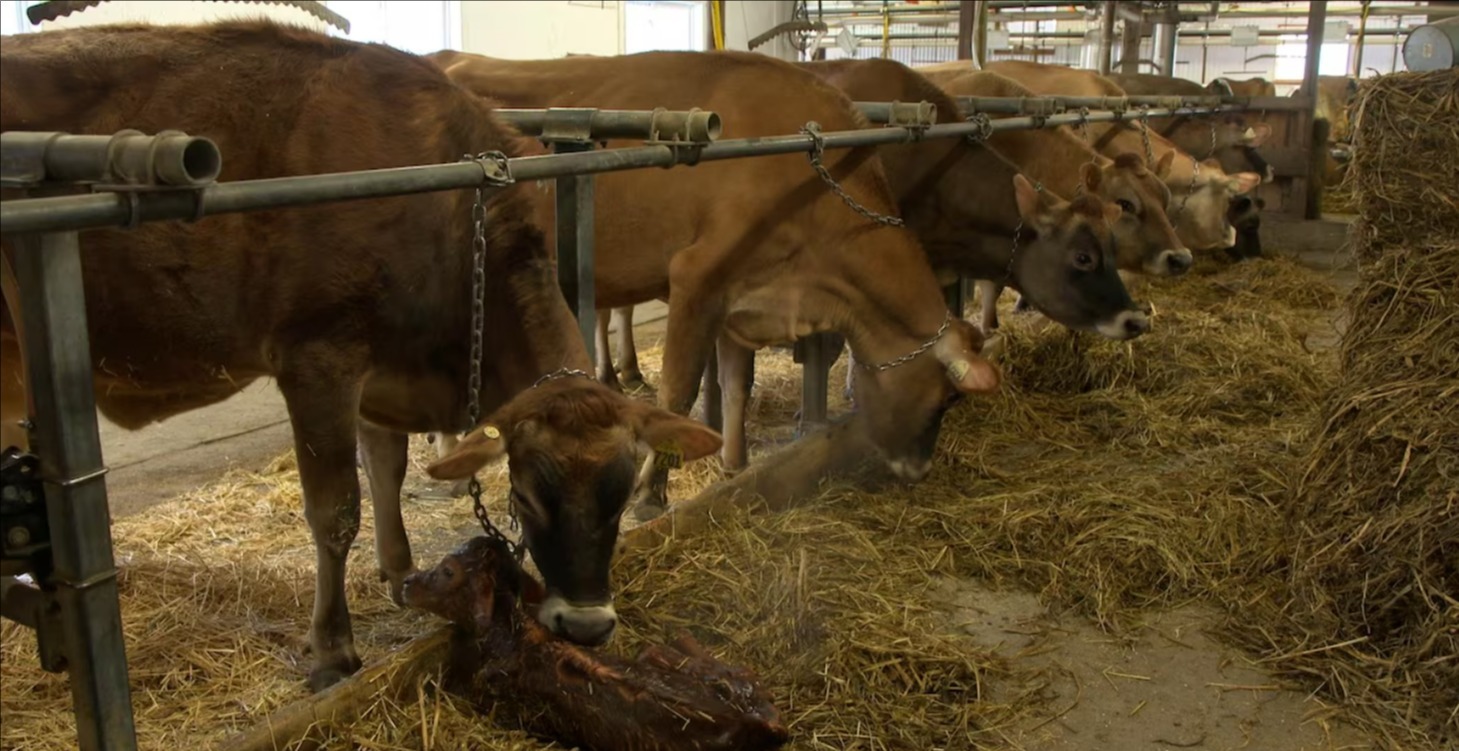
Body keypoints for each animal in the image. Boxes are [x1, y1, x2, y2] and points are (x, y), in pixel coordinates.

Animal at [0, 21, 728, 691]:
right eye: (522, 491)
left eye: (623, 490)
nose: (586, 626)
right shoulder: (317, 359)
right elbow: (336, 510)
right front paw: (332, 649)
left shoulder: (385, 371)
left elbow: (388, 469)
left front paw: (402, 571)